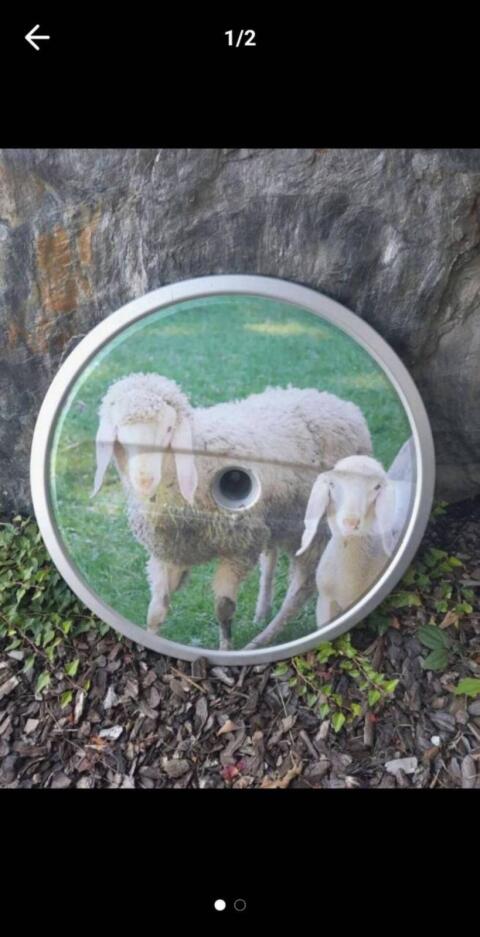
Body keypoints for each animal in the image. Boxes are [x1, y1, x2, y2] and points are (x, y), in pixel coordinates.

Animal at [92, 372, 373, 650]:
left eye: (169, 430)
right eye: (118, 432)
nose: (144, 481)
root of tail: (342, 405)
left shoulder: (238, 549)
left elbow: (223, 609)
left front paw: (226, 648)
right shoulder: (168, 553)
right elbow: (156, 610)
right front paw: (150, 640)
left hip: (316, 527)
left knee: (301, 589)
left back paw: (262, 640)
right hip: (279, 519)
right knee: (270, 558)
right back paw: (261, 613)